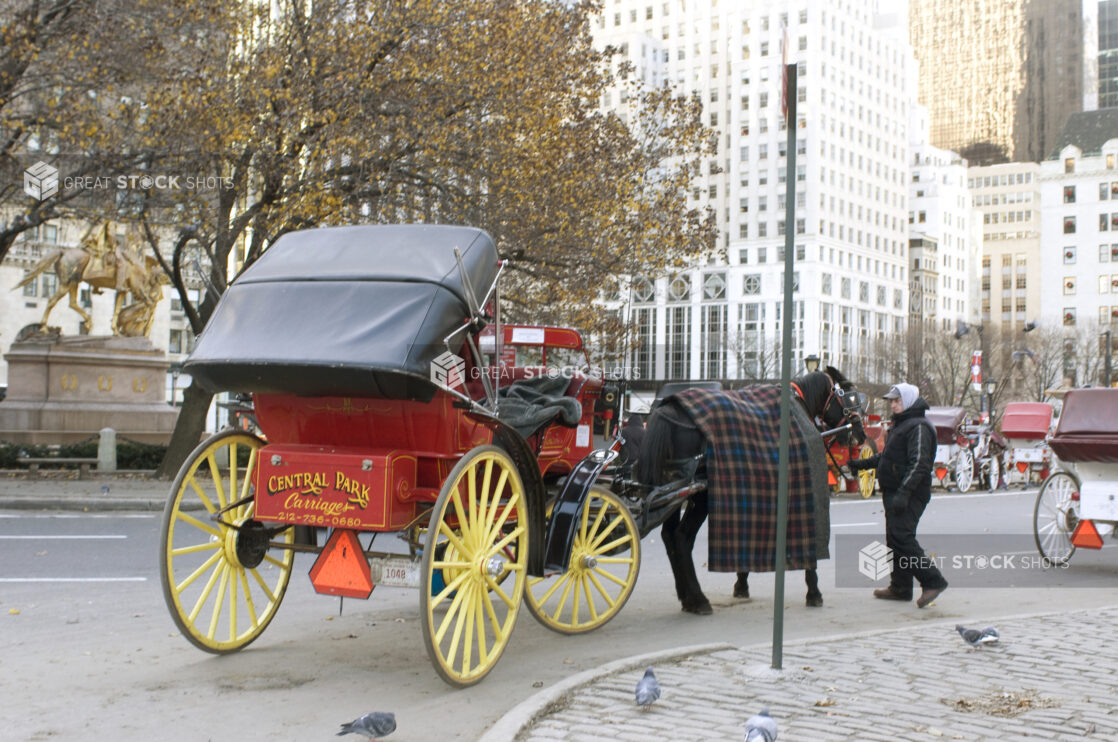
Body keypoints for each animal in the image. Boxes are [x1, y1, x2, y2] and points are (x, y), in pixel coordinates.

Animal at [639, 364, 863, 612]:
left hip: (671, 491)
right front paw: (813, 591)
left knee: (668, 536)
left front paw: (741, 582)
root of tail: (669, 410)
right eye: (851, 396)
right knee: (681, 538)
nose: (861, 434)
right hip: (699, 496)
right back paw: (698, 599)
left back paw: (686, 596)